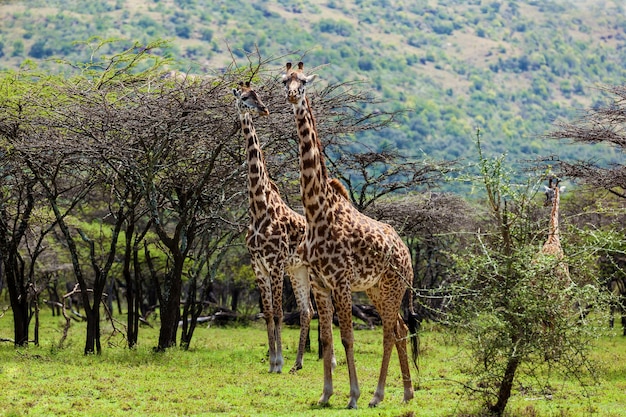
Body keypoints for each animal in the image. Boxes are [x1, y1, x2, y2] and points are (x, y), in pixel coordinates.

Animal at [232, 81, 312, 374]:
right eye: (245, 98)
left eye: (259, 96)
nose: (264, 109)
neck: (259, 208)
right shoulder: (258, 264)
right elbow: (267, 313)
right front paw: (272, 361)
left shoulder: (275, 263)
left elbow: (278, 312)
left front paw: (278, 362)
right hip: (298, 270)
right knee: (307, 311)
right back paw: (298, 363)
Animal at [280, 63, 416, 408]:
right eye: (284, 81)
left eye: (304, 81)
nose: (292, 96)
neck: (317, 211)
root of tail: (407, 253)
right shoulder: (319, 283)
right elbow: (328, 338)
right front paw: (325, 394)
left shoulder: (340, 282)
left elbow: (347, 337)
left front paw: (353, 395)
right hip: (376, 290)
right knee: (399, 327)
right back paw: (406, 392)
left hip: (393, 287)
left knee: (388, 332)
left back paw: (377, 396)